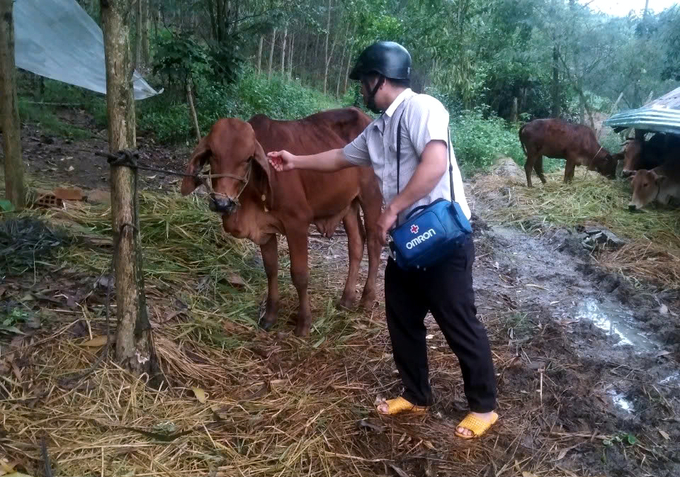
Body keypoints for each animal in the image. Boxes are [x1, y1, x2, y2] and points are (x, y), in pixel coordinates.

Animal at [179, 108, 382, 334]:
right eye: (213, 154)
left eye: (247, 158)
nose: (222, 203)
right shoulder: (265, 231)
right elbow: (271, 270)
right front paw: (270, 315)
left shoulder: (297, 224)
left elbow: (300, 275)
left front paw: (304, 323)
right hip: (349, 204)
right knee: (356, 243)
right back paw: (346, 299)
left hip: (371, 197)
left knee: (374, 244)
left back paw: (367, 299)